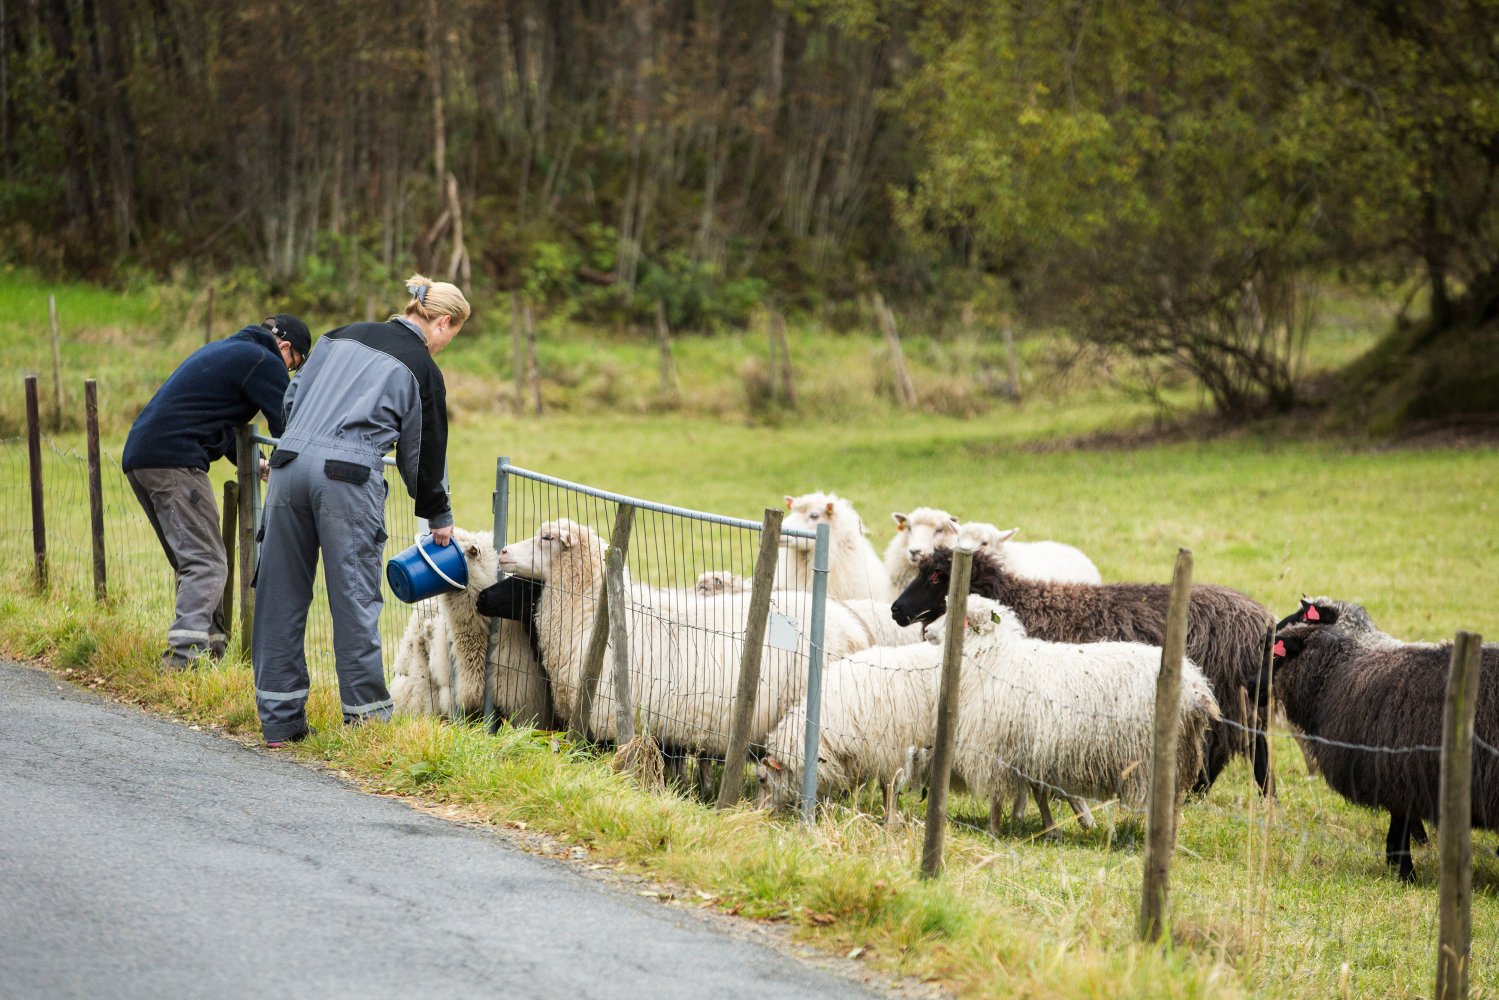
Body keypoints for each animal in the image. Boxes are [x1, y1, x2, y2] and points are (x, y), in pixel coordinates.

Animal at [887, 548, 1277, 797]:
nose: (896, 610)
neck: (1023, 603)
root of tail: (1263, 618)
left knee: (1236, 752)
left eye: (937, 576)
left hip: (1230, 701)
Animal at [1265, 605, 1499, 881]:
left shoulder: (1400, 771)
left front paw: (1404, 871)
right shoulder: (1400, 773)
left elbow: (1400, 821)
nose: (1249, 680)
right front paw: (1400, 866)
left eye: (1276, 653)